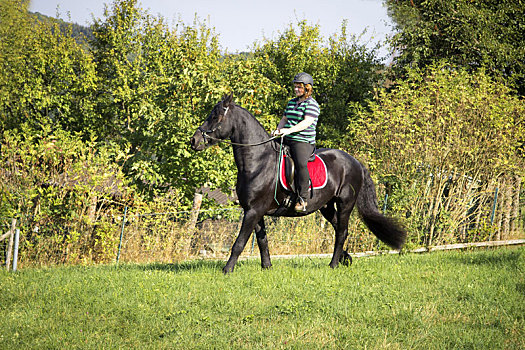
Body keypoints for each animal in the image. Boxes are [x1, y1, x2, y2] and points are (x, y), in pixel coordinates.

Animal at [189, 93, 406, 274]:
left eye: (216, 117)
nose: (194, 140)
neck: (258, 162)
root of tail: (355, 162)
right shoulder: (254, 211)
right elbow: (262, 240)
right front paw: (267, 267)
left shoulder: (253, 211)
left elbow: (239, 242)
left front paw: (227, 270)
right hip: (326, 206)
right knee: (338, 228)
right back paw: (345, 258)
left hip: (345, 203)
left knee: (342, 232)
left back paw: (333, 264)